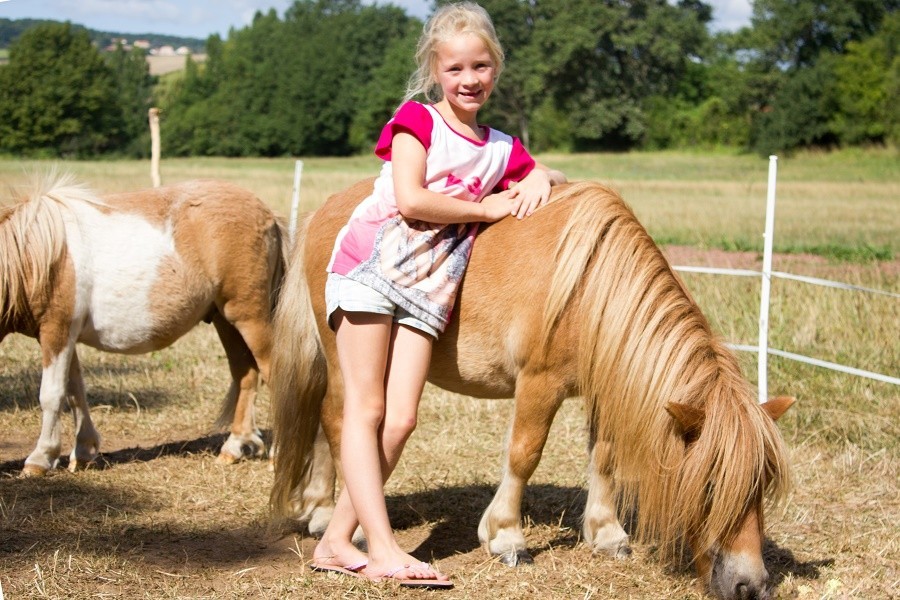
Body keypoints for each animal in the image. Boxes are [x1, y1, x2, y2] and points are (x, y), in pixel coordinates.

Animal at [1, 174, 287, 476]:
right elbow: (75, 391)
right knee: (245, 374)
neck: (34, 256)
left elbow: (52, 394)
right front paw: (84, 451)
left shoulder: (56, 330)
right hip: (226, 321)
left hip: (249, 318)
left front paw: (40, 458)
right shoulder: (66, 337)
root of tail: (268, 216)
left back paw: (277, 457)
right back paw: (234, 448)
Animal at [269, 178, 793, 600]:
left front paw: (607, 534)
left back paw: (320, 511)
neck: (589, 286)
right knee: (340, 422)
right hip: (348, 355)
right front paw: (506, 538)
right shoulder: (539, 384)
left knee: (325, 424)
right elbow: (524, 454)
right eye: (710, 485)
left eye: (762, 485)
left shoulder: (600, 389)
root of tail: (323, 213)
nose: (751, 586)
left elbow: (604, 456)